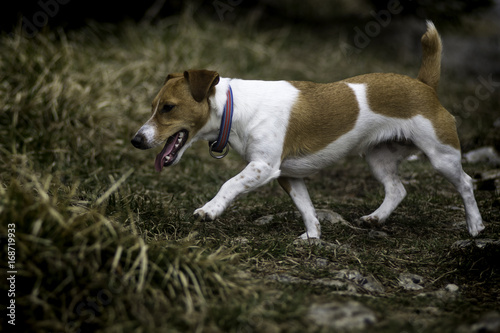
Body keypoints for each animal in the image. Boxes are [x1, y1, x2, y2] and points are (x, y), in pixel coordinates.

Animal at [131, 21, 482, 239]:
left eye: (168, 108)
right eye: (153, 105)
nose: (136, 140)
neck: (236, 107)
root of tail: (425, 85)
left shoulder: (262, 167)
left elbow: (229, 184)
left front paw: (210, 209)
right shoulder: (289, 175)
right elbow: (306, 208)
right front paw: (314, 237)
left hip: (442, 155)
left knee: (466, 184)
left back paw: (476, 227)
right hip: (378, 159)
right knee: (397, 189)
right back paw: (376, 218)